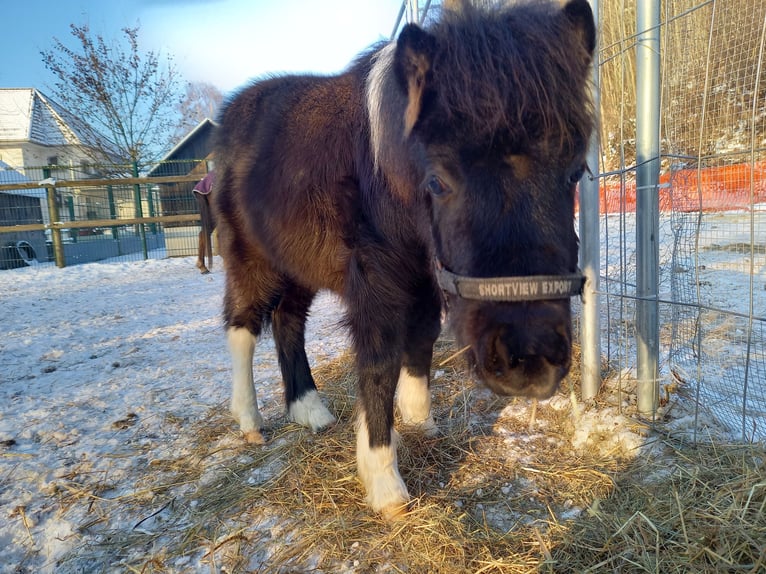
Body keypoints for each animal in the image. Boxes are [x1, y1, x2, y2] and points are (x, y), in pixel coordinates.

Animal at [213, 0, 595, 520]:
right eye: (437, 180)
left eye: (575, 170)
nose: (529, 361)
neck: (383, 176)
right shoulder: (377, 282)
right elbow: (379, 360)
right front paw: (384, 482)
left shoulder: (425, 277)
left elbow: (422, 338)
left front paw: (418, 421)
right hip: (251, 259)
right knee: (243, 327)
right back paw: (250, 420)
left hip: (297, 265)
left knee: (288, 320)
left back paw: (310, 410)